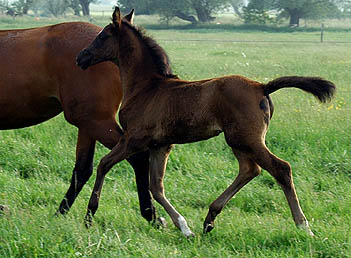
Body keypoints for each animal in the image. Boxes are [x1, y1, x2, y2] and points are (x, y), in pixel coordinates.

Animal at [76, 7, 336, 238]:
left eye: (103, 35)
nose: (81, 57)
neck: (146, 87)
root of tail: (261, 87)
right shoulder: (161, 145)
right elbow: (156, 187)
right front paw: (184, 227)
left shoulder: (134, 139)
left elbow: (104, 164)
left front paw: (89, 215)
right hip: (238, 140)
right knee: (250, 169)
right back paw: (209, 219)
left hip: (247, 139)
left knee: (281, 168)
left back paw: (303, 226)